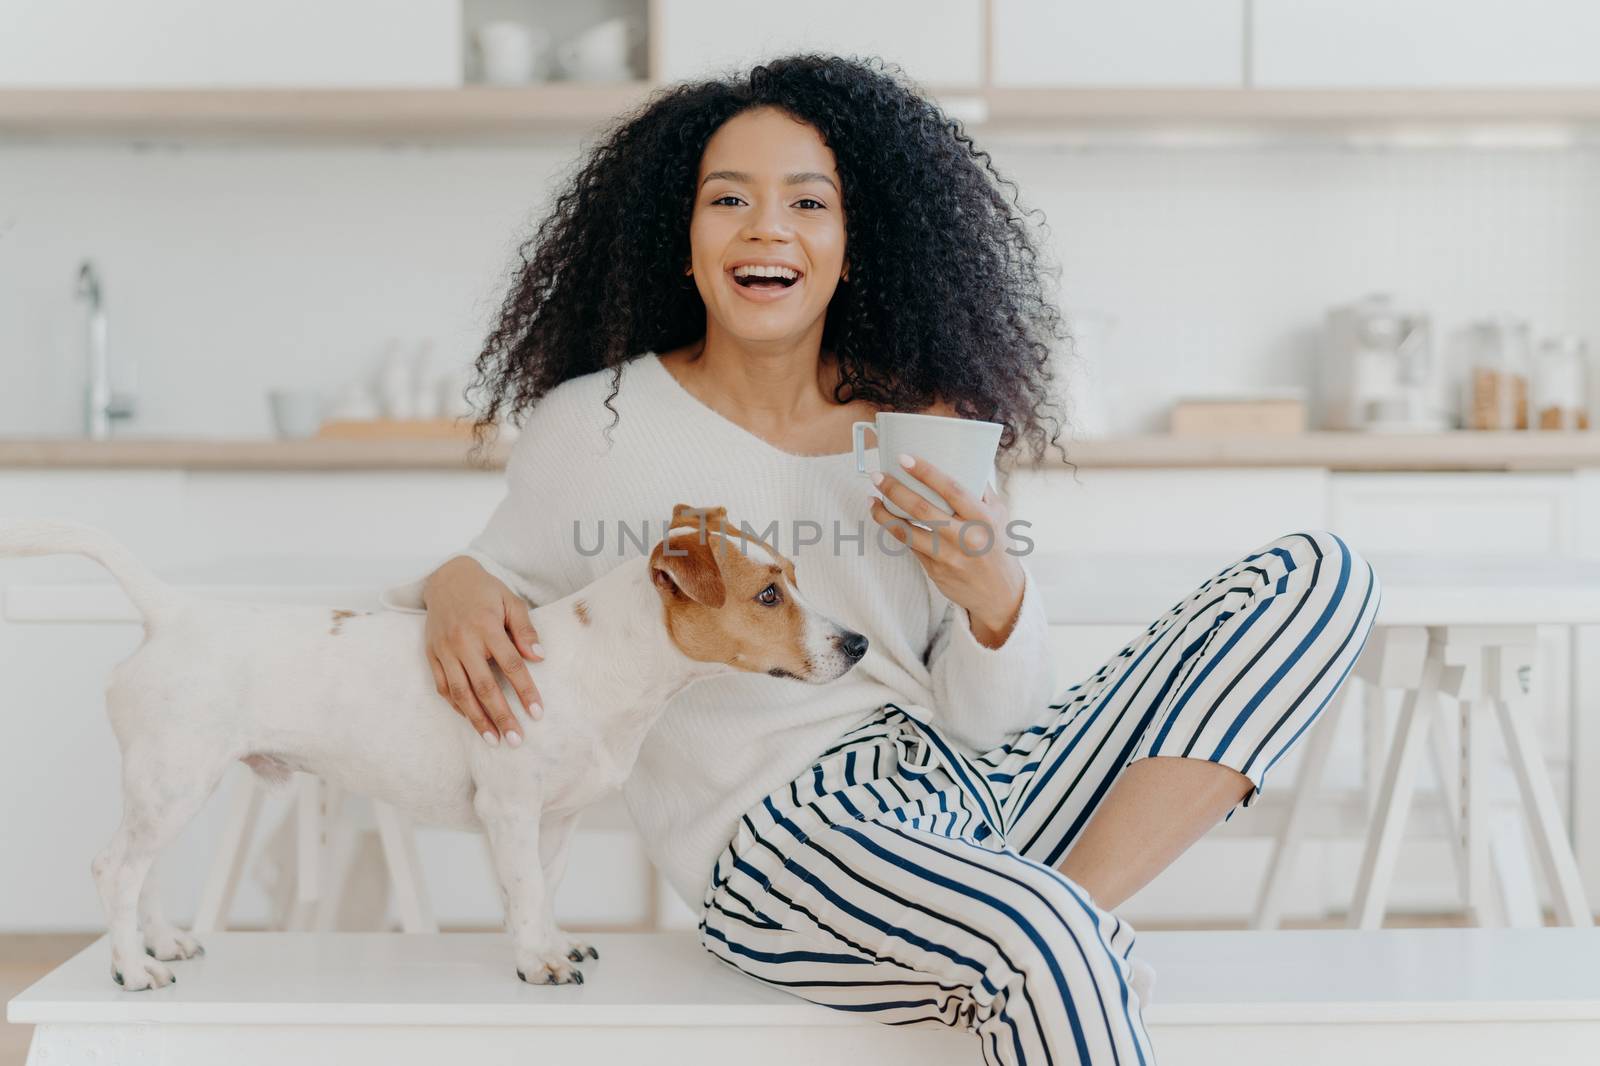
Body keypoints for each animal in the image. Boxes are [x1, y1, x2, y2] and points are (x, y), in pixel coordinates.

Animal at [0, 505, 870, 985]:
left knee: (140, 875)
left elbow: (543, 890)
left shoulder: (556, 822)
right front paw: (536, 962)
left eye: (793, 577)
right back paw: (132, 967)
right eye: (768, 594)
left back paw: (162, 942)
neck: (606, 665)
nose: (858, 642)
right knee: (113, 870)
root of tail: (173, 610)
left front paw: (553, 942)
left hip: (168, 788)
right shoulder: (510, 811)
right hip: (176, 782)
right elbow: (521, 890)